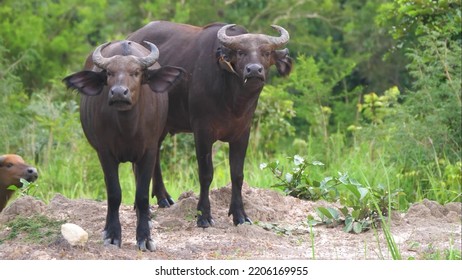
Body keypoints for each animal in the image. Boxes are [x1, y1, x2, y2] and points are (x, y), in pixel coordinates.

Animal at [62, 40, 184, 252]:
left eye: (136, 72)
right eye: (109, 73)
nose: (119, 92)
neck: (128, 127)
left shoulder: (149, 150)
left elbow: (142, 194)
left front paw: (145, 237)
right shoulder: (105, 152)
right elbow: (114, 193)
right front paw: (112, 235)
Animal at [127, 21, 292, 228]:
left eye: (267, 52)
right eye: (240, 52)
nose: (254, 70)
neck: (233, 100)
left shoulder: (242, 133)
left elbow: (237, 175)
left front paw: (240, 214)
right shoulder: (202, 132)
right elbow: (206, 174)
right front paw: (203, 215)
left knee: (154, 154)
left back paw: (163, 198)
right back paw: (143, 207)